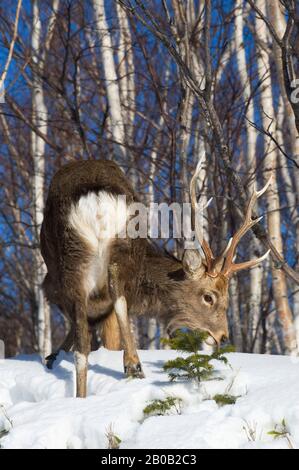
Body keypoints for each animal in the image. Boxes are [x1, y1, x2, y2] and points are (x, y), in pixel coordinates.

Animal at [40, 157, 272, 396]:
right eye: (209, 297)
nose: (223, 336)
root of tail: (97, 200)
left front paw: (53, 358)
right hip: (110, 251)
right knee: (111, 307)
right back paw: (131, 367)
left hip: (73, 260)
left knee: (88, 338)